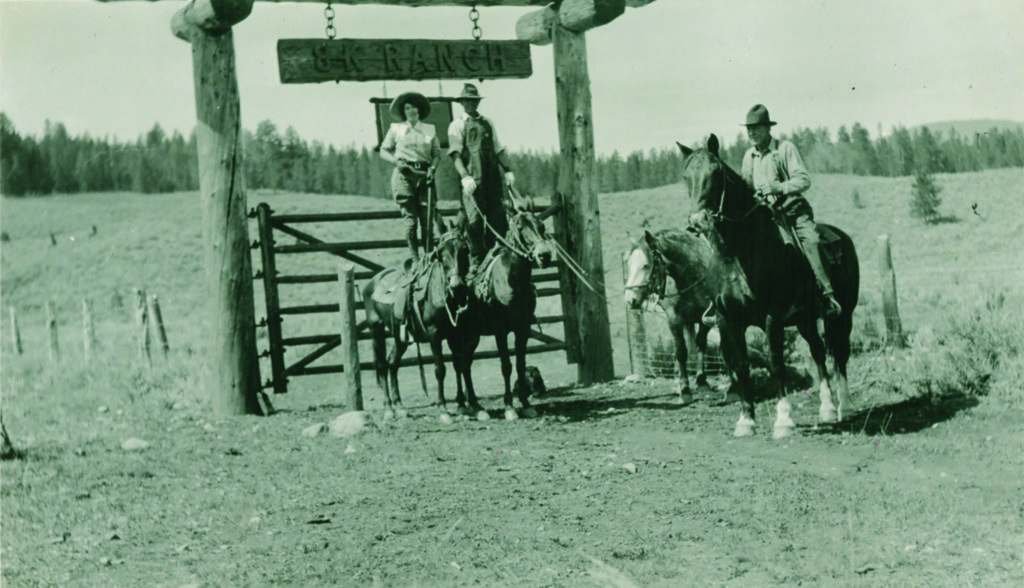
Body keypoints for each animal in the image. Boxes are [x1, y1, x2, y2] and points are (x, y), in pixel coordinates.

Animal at [362, 224, 468, 420]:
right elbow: (440, 369)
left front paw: (462, 406)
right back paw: (388, 408)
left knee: (392, 362)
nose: (456, 285)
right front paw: (443, 409)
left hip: (400, 336)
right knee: (382, 365)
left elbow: (459, 365)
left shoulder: (455, 334)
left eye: (465, 249)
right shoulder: (434, 334)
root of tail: (373, 281)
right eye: (441, 253)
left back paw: (400, 406)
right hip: (376, 330)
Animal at [462, 206, 561, 420]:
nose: (544, 255)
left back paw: (469, 405)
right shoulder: (500, 330)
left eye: (541, 225)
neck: (511, 280)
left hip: (473, 337)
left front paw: (525, 403)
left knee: (464, 364)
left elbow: (520, 364)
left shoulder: (523, 328)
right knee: (463, 365)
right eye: (520, 227)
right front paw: (509, 407)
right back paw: (472, 406)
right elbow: (506, 366)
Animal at [618, 227, 724, 405]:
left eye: (646, 265)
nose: (630, 300)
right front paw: (685, 389)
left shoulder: (706, 317)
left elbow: (700, 344)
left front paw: (702, 382)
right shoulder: (674, 319)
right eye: (629, 264)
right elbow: (680, 351)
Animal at [675, 135, 860, 438]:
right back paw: (827, 409)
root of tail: (841, 236)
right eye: (685, 176)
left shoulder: (772, 316)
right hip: (805, 319)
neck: (740, 254)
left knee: (839, 353)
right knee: (819, 352)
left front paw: (783, 420)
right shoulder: (728, 319)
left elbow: (775, 363)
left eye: (716, 173)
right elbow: (741, 365)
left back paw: (844, 406)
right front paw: (746, 420)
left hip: (843, 315)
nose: (698, 221)